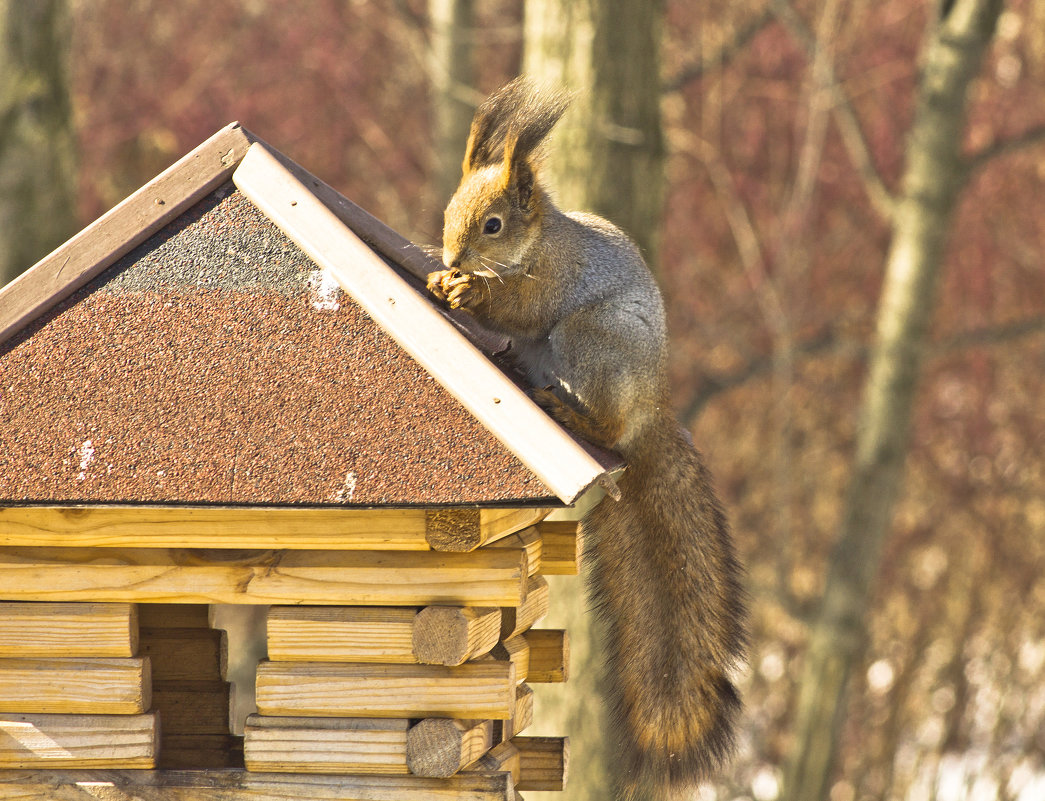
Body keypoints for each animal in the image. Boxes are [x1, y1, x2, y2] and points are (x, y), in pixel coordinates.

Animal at [428, 76, 748, 801]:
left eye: (493, 224)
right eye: (449, 211)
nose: (452, 257)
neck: (538, 246)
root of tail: (650, 408)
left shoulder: (549, 285)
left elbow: (518, 308)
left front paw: (466, 291)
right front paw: (439, 279)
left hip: (589, 340)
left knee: (603, 418)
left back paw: (573, 413)